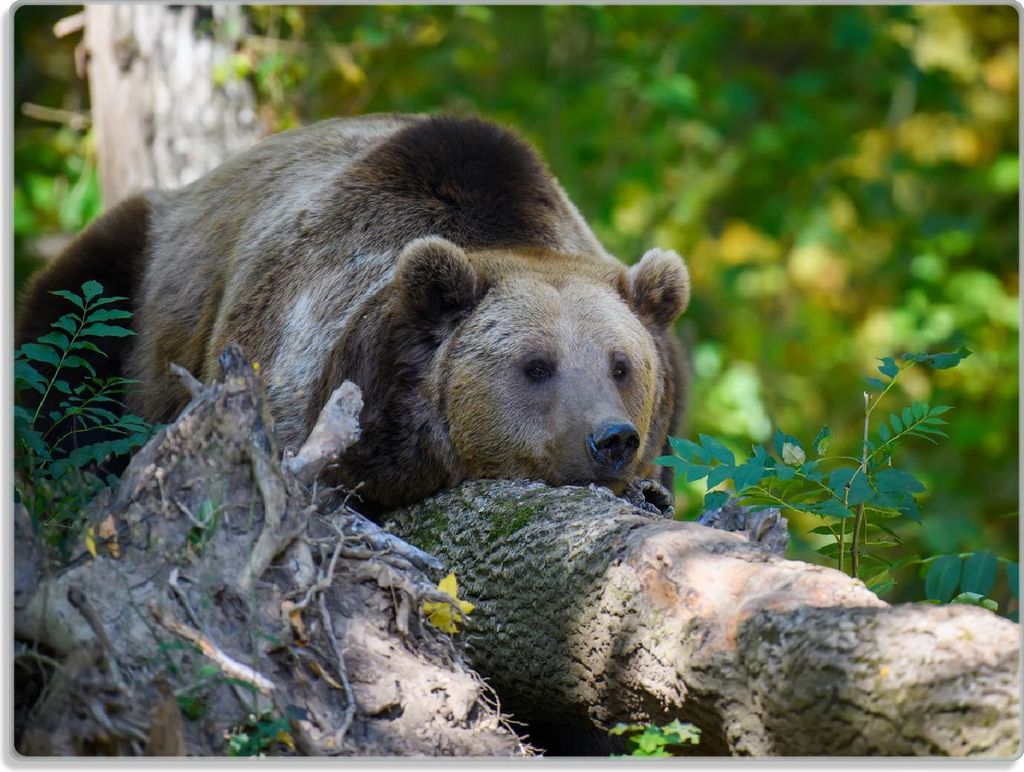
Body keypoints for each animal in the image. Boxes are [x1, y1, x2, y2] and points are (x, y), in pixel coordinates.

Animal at [16, 113, 689, 512]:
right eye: (536, 366)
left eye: (621, 365)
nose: (611, 439)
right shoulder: (296, 348)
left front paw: (649, 490)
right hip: (138, 275)